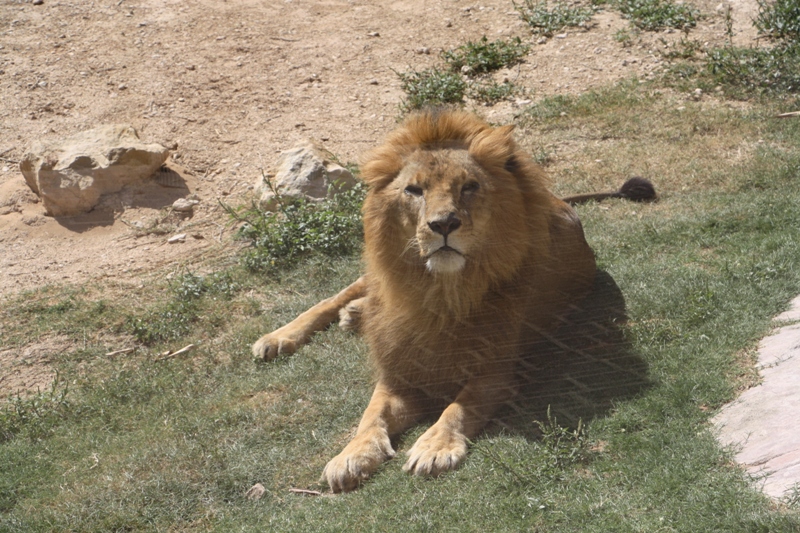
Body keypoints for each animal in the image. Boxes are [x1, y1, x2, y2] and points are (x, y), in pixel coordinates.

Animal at [253, 110, 652, 492]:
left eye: (469, 186)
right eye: (414, 190)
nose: (443, 224)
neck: (441, 295)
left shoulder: (499, 370)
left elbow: (460, 406)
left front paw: (435, 447)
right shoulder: (398, 373)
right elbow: (370, 417)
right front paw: (350, 456)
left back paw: (353, 316)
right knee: (342, 292)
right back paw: (282, 336)